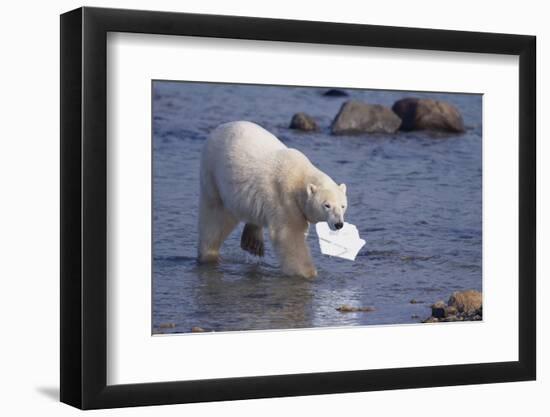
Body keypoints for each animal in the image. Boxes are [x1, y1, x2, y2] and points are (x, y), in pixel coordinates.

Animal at [198, 120, 350, 278]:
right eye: (327, 205)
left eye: (343, 206)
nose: (339, 224)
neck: (299, 177)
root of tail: (219, 128)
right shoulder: (285, 198)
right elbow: (289, 235)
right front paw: (308, 273)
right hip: (213, 175)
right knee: (215, 218)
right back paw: (209, 254)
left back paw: (253, 242)